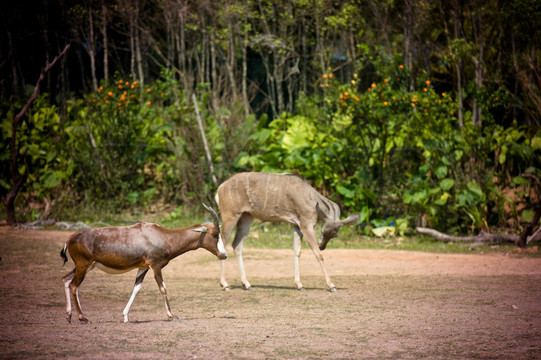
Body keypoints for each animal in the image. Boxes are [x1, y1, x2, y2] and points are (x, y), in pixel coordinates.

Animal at [59, 204, 226, 324]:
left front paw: (126, 317)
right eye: (215, 234)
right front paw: (172, 316)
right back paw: (83, 318)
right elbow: (163, 288)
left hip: (85, 266)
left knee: (66, 279)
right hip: (84, 266)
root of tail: (70, 239)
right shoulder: (155, 266)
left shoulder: (143, 267)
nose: (223, 255)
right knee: (74, 285)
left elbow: (136, 288)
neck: (161, 235)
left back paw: (68, 316)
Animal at [215, 172, 358, 292]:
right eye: (323, 231)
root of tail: (220, 188)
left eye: (335, 234)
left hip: (246, 217)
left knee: (237, 245)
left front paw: (299, 285)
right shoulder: (306, 225)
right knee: (223, 243)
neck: (311, 198)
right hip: (230, 216)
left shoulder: (297, 226)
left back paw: (247, 284)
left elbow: (297, 252)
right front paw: (331, 285)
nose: (322, 246)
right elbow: (318, 254)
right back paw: (225, 284)